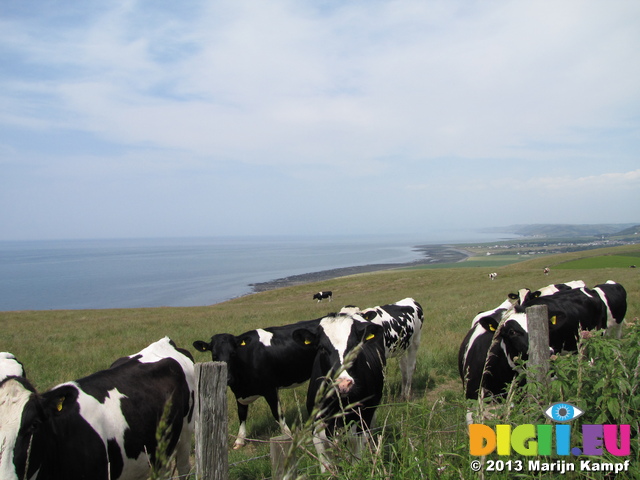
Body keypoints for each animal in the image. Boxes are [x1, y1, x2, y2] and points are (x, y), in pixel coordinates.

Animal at [190, 318, 320, 446]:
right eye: (214, 356)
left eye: (233, 353)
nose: (227, 378)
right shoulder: (239, 394)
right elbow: (241, 413)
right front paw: (240, 439)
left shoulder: (270, 389)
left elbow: (277, 412)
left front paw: (287, 435)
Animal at [292, 314, 384, 470]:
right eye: (322, 348)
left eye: (356, 345)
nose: (343, 383)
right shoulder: (317, 430)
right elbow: (327, 467)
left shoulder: (360, 427)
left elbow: (356, 464)